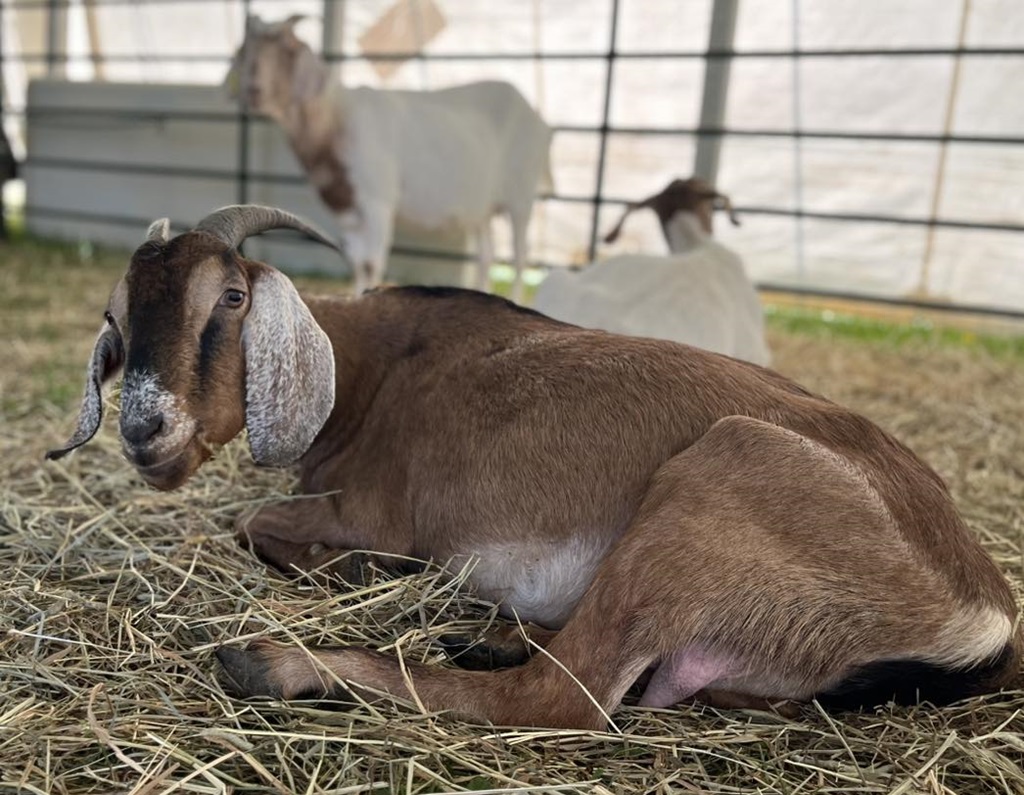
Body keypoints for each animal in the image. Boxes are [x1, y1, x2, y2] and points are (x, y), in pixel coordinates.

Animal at [49, 205, 1021, 730]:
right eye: (117, 318)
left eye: (232, 298)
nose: (145, 429)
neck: (373, 369)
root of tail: (982, 616)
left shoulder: (371, 508)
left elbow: (252, 522)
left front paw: (353, 571)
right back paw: (483, 632)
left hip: (717, 477)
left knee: (562, 697)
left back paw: (279, 662)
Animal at [227, 14, 553, 302]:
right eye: (245, 50)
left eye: (287, 48)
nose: (253, 90)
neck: (338, 118)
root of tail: (538, 118)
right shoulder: (345, 206)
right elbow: (357, 260)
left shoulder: (377, 201)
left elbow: (372, 261)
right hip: (481, 206)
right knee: (486, 254)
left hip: (522, 196)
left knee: (520, 255)